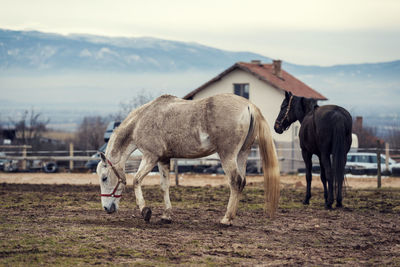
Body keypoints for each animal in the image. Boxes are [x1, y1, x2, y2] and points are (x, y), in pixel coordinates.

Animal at [97, 94, 278, 226]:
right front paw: (166, 215)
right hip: (242, 154)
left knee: (235, 181)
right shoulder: (163, 159)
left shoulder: (150, 156)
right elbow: (164, 186)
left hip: (227, 155)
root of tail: (248, 105)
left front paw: (145, 211)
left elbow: (136, 180)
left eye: (104, 178)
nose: (106, 208)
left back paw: (226, 219)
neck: (140, 121)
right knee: (242, 182)